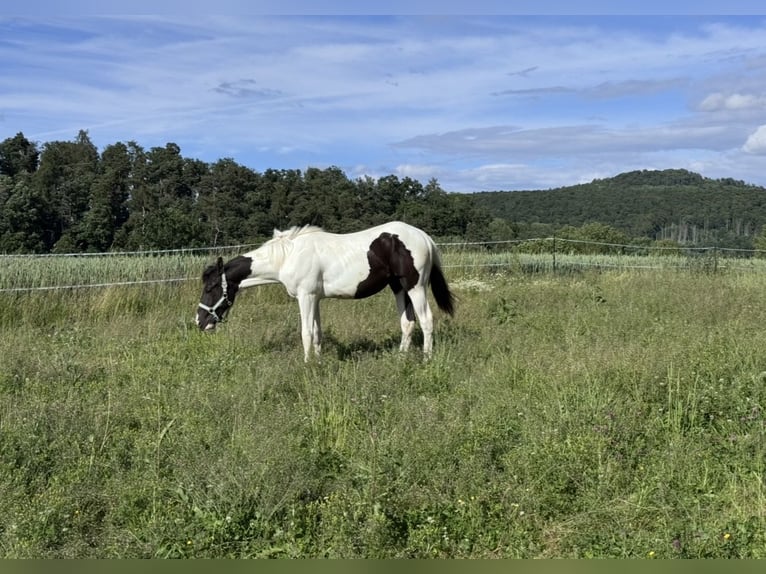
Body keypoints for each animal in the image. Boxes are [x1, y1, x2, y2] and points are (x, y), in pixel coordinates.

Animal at [196, 221, 455, 361]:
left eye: (210, 287)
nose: (199, 321)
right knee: (407, 323)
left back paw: (426, 359)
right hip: (399, 288)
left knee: (426, 321)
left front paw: (307, 365)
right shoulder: (315, 298)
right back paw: (401, 358)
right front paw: (318, 362)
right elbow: (317, 333)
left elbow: (306, 333)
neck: (288, 256)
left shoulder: (306, 297)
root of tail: (424, 237)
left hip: (415, 287)